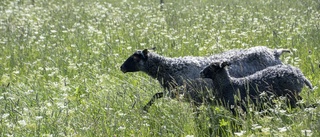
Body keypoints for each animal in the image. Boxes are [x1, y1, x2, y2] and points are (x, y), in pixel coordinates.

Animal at [120, 46, 290, 111]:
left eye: (135, 58)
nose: (121, 67)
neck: (171, 68)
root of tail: (274, 52)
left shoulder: (189, 95)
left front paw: (144, 109)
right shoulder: (175, 93)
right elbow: (157, 95)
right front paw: (145, 108)